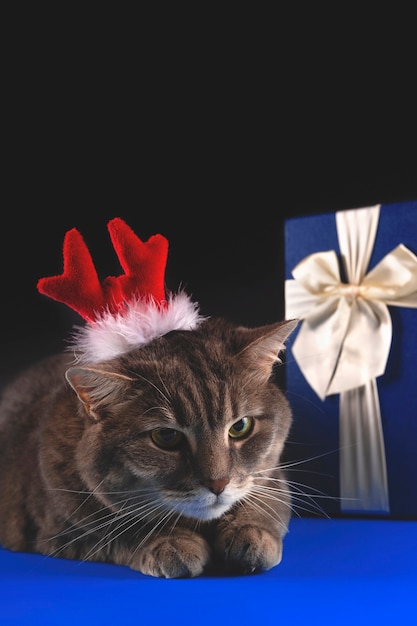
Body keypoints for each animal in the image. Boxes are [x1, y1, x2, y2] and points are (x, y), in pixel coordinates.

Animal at [0, 314, 296, 576]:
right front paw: (169, 541)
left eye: (240, 426)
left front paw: (252, 532)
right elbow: (119, 527)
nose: (218, 484)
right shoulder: (58, 527)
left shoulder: (272, 475)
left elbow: (267, 502)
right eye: (166, 437)